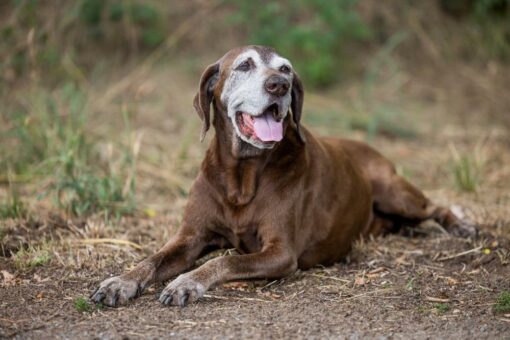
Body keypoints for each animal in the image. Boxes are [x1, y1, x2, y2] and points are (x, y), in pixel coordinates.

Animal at [89, 45, 476, 308]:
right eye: (244, 65)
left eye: (286, 69)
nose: (279, 85)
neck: (241, 174)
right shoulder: (191, 237)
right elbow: (152, 259)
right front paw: (120, 282)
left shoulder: (280, 252)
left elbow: (224, 259)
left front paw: (187, 282)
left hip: (395, 191)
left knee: (435, 207)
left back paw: (461, 225)